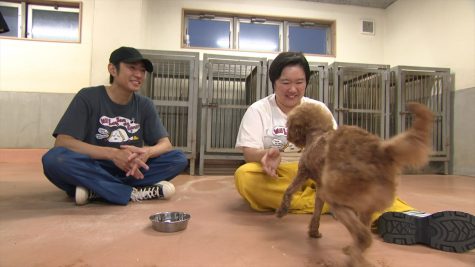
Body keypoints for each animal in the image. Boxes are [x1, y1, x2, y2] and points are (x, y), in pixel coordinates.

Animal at [276, 101, 436, 266]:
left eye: (290, 125)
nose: (288, 136)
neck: (317, 134)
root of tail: (380, 151)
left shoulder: (303, 172)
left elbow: (289, 191)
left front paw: (282, 210)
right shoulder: (320, 188)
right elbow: (317, 211)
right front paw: (314, 231)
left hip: (339, 201)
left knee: (363, 235)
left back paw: (354, 258)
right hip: (365, 207)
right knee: (364, 232)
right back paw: (352, 250)